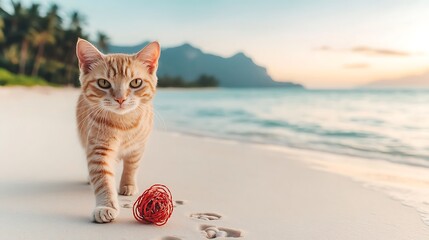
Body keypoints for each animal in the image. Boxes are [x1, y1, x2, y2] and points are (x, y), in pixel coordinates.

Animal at [74, 38, 160, 223]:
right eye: (103, 83)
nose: (120, 99)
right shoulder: (98, 149)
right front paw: (106, 206)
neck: (123, 124)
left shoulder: (138, 148)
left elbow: (131, 167)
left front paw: (128, 184)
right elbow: (103, 179)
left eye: (136, 82)